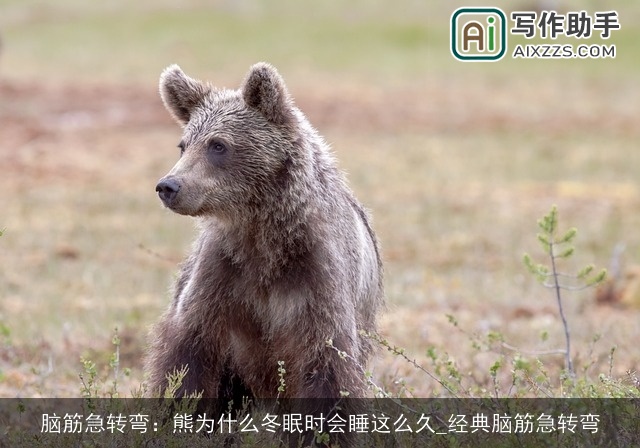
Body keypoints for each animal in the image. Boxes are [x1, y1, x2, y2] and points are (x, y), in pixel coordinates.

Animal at [146, 62, 383, 412]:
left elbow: (328, 365)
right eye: (184, 144)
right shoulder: (222, 275)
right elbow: (187, 354)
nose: (169, 186)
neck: (263, 235)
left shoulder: (317, 277)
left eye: (218, 145)